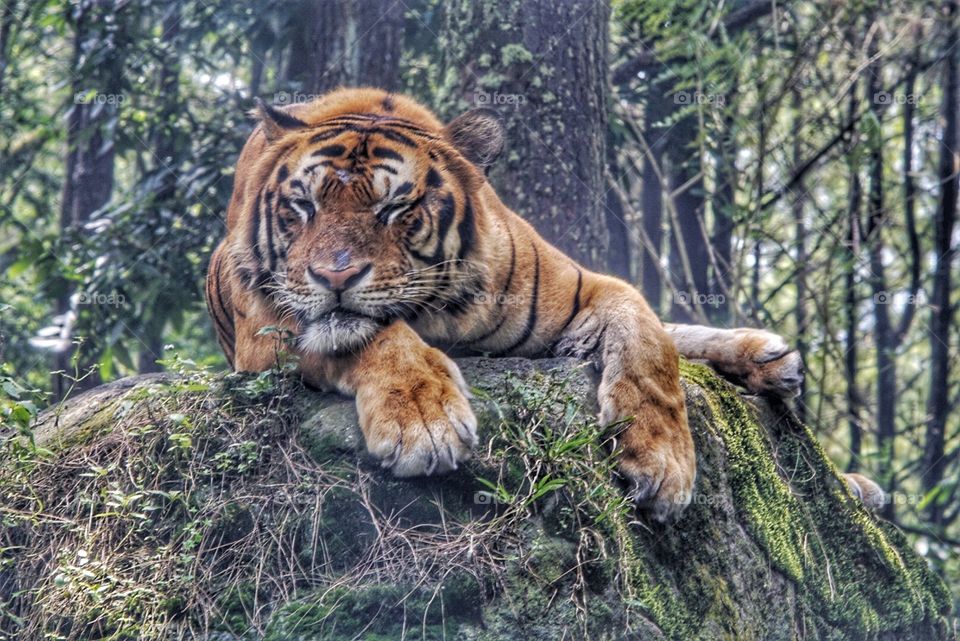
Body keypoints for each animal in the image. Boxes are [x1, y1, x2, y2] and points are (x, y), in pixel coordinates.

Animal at [205, 87, 811, 521]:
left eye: (395, 208)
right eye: (303, 206)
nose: (335, 275)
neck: (437, 312)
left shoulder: (585, 286)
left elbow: (650, 340)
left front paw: (664, 464)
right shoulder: (266, 322)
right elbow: (376, 335)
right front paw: (424, 421)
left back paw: (771, 358)